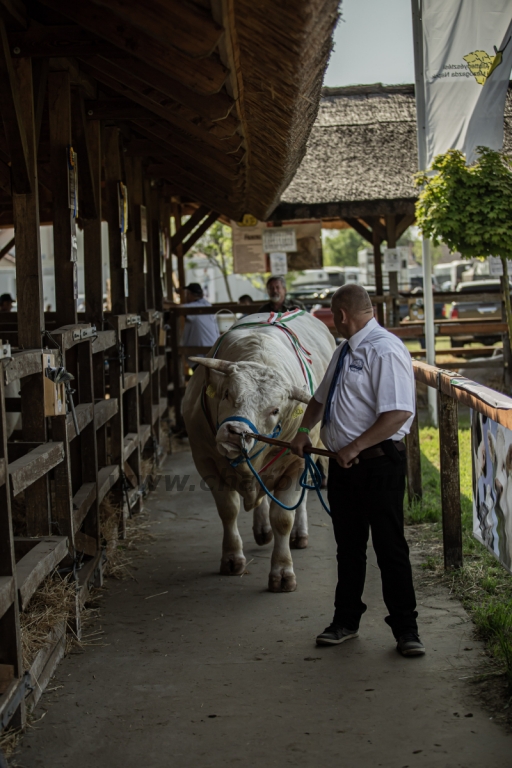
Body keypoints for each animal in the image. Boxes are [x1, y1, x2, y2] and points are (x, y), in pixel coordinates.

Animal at [182, 312, 334, 592]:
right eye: (227, 393)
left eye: (275, 410)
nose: (234, 432)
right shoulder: (205, 460)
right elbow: (228, 510)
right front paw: (232, 558)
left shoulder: (295, 464)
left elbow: (283, 517)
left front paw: (282, 571)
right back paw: (262, 529)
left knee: (300, 498)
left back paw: (299, 534)